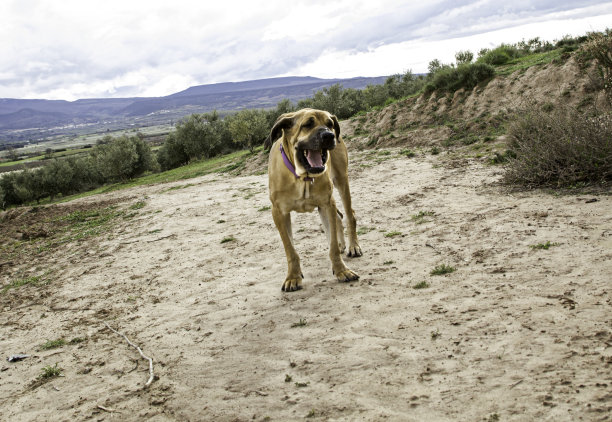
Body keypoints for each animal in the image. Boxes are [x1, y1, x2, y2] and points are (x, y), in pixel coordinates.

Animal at [266, 109, 360, 292]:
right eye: (307, 124)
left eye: (330, 123)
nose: (329, 136)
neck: (302, 177)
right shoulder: (279, 213)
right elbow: (290, 249)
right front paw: (293, 277)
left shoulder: (326, 204)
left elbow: (332, 246)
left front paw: (341, 271)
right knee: (339, 217)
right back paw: (342, 244)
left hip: (341, 180)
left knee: (349, 214)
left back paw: (353, 246)